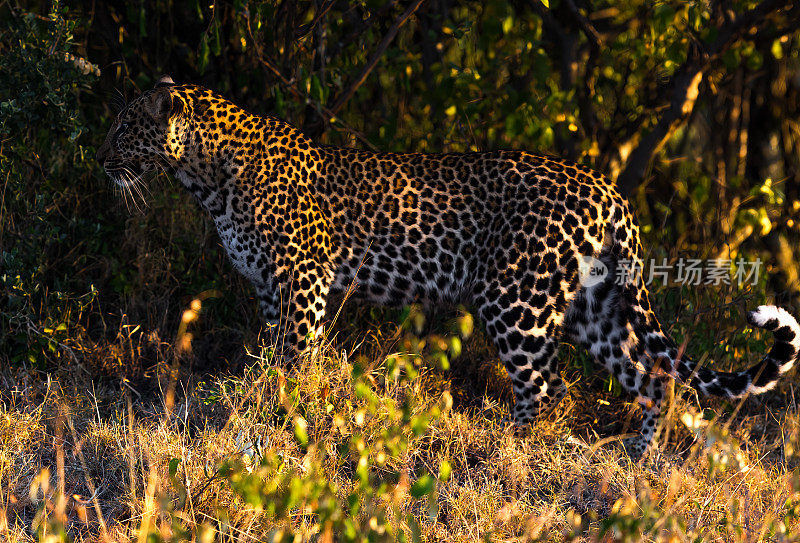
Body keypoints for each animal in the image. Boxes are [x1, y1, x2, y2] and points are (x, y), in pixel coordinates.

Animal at [98, 76, 800, 456]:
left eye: (124, 130)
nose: (99, 159)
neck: (203, 175)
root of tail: (608, 189)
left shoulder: (302, 279)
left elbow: (294, 357)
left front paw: (279, 418)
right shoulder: (275, 290)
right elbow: (278, 353)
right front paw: (272, 406)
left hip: (517, 302)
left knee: (546, 388)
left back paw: (512, 453)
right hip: (591, 307)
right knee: (653, 378)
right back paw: (634, 464)